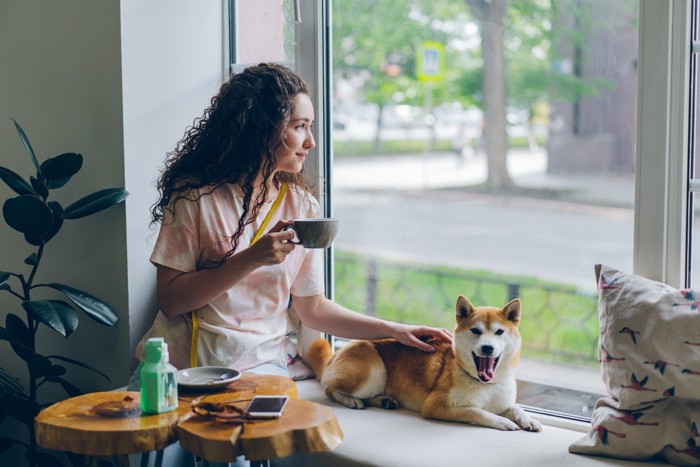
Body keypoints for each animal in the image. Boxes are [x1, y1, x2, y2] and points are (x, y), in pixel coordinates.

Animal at [304, 296, 540, 432]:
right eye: (476, 331)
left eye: (499, 332)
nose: (488, 348)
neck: (484, 384)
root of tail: (336, 353)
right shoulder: (436, 406)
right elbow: (476, 411)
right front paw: (501, 421)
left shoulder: (502, 400)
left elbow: (514, 406)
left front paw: (527, 419)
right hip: (374, 371)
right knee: (329, 389)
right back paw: (350, 399)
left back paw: (384, 401)